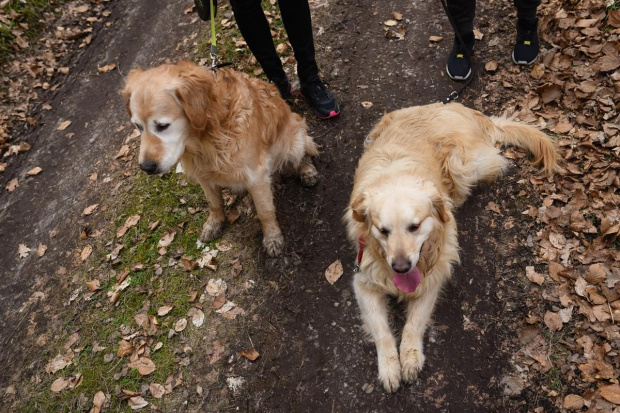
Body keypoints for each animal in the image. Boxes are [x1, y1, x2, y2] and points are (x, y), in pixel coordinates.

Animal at [122, 61, 319, 257]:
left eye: (163, 126)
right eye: (138, 126)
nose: (146, 167)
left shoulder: (256, 175)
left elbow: (265, 210)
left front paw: (272, 237)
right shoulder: (204, 175)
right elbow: (214, 204)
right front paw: (213, 224)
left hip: (293, 140)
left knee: (304, 153)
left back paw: (307, 171)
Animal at [344, 102, 557, 392]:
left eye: (415, 226)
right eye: (382, 230)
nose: (401, 267)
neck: (396, 177)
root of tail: (462, 109)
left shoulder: (431, 277)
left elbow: (413, 325)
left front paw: (410, 358)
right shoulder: (363, 280)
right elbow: (382, 332)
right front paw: (389, 367)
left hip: (461, 166)